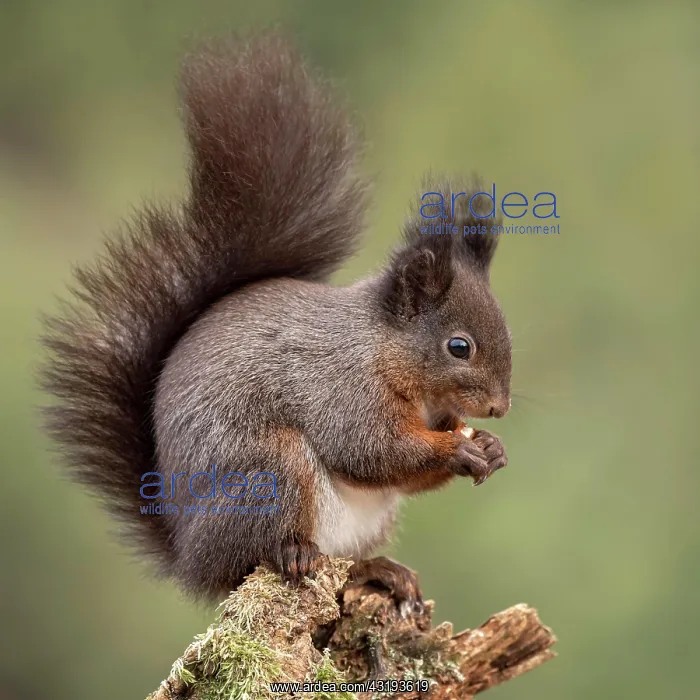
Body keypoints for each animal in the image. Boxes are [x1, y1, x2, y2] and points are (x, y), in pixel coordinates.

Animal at [40, 35, 511, 607]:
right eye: (458, 346)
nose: (500, 408)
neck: (383, 347)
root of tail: (189, 559)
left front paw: (490, 447)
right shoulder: (342, 386)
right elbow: (371, 450)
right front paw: (458, 449)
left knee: (346, 563)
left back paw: (381, 569)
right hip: (271, 471)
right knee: (254, 556)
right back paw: (293, 553)